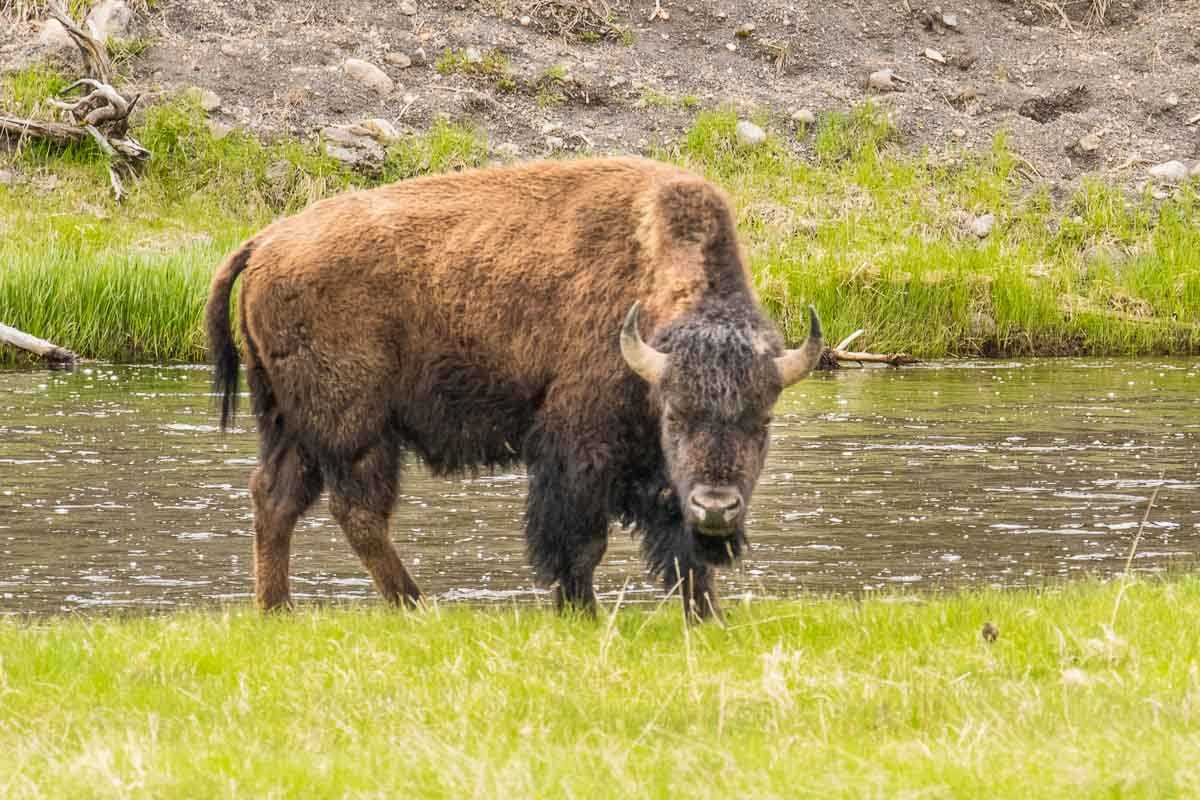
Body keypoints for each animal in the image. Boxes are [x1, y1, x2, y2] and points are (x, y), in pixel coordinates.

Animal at [208, 154, 825, 618]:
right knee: (357, 512)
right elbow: (581, 542)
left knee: (275, 497)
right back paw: (414, 605)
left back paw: (278, 609)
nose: (717, 507)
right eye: (676, 415)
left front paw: (709, 618)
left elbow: (682, 552)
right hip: (356, 429)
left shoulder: (660, 477)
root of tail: (265, 242)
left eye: (762, 421)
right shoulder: (577, 449)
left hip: (291, 423)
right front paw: (580, 612)